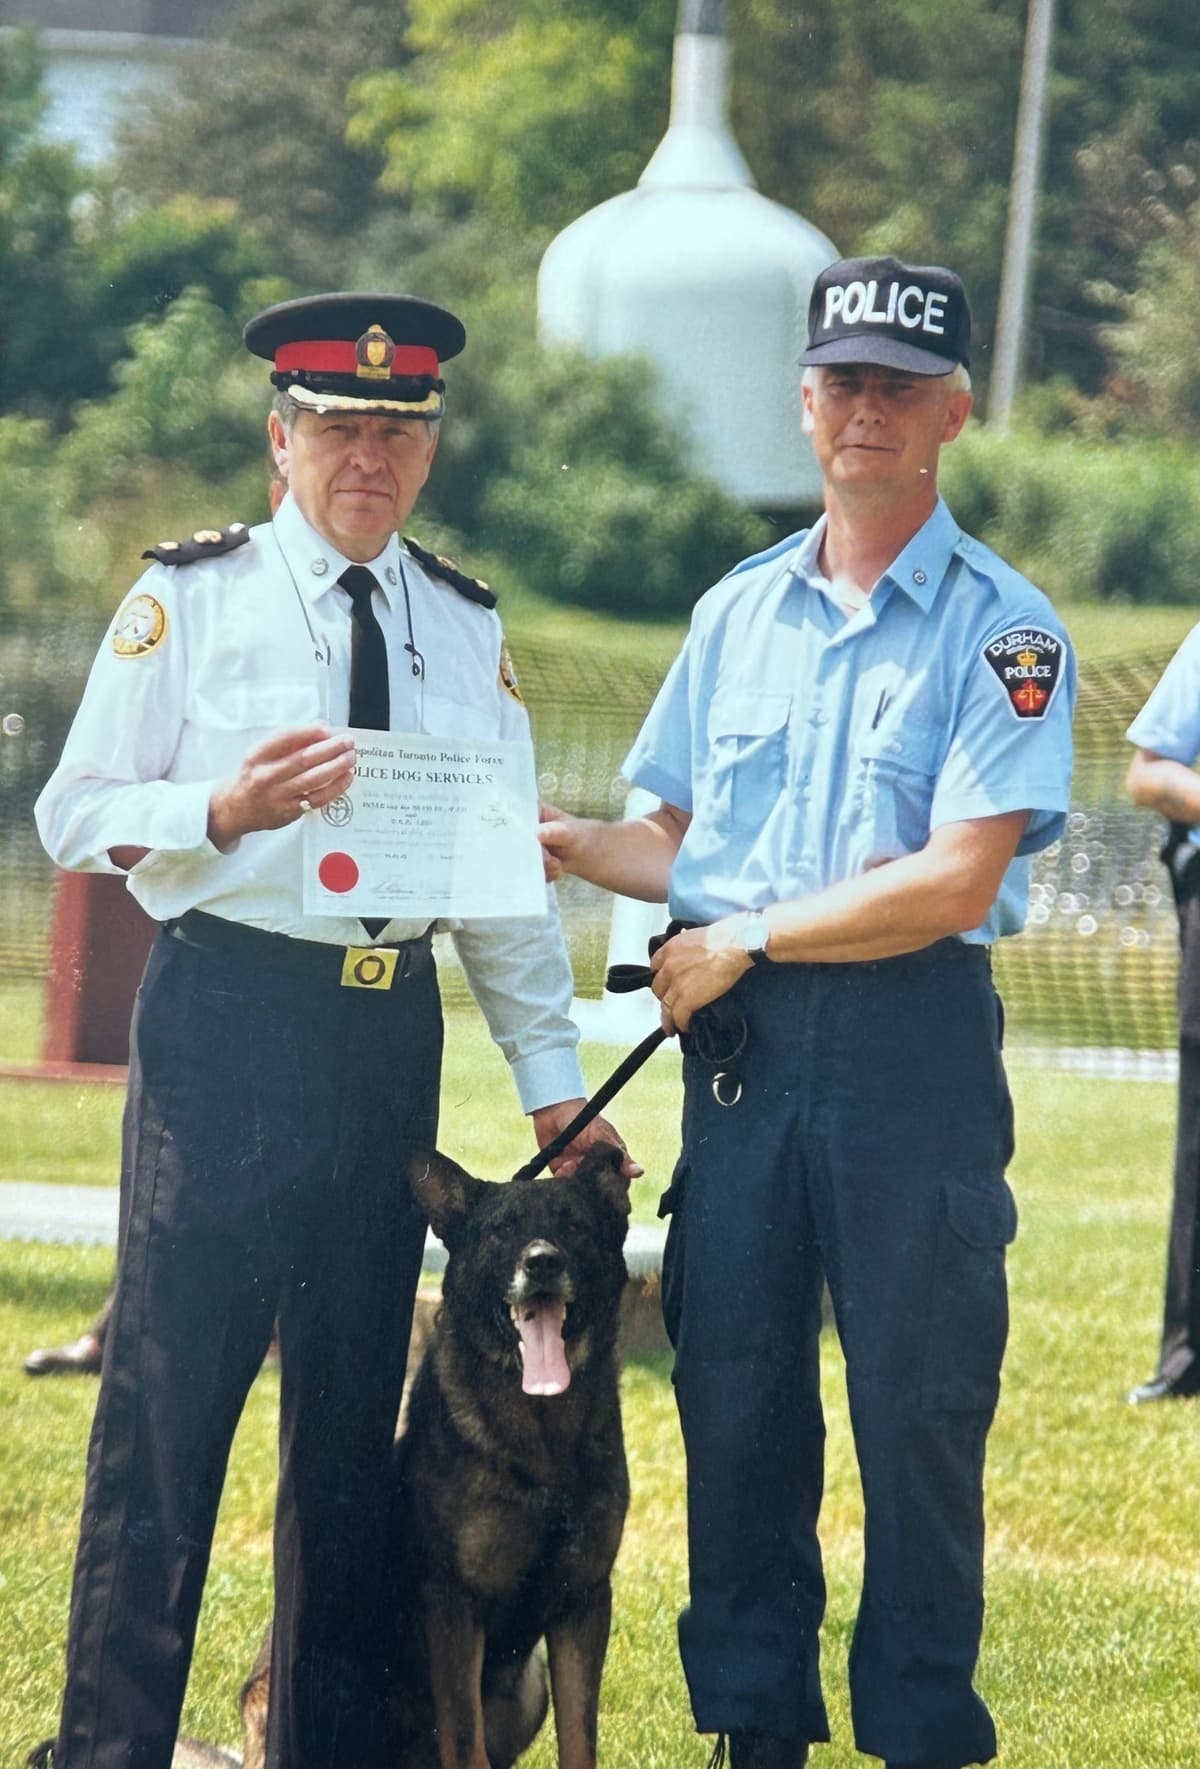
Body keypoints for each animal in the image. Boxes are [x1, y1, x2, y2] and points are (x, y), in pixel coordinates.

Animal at [238, 1139, 633, 1761]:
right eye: (500, 1231)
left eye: (573, 1225)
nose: (542, 1262)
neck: (542, 1433)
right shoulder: (454, 1604)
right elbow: (465, 1744)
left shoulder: (583, 1603)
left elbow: (579, 1744)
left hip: (531, 1688)